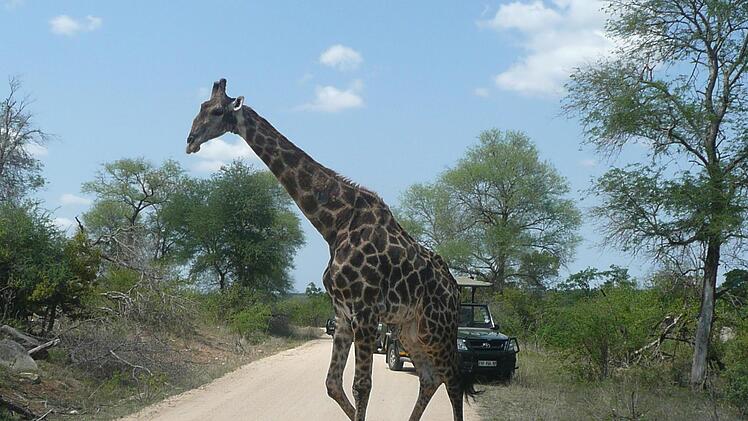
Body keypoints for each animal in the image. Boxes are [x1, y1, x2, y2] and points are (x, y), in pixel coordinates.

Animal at [185, 79, 478, 421]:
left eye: (217, 111)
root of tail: (454, 289)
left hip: (437, 326)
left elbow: (361, 386)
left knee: (453, 379)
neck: (334, 225)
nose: (190, 141)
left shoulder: (364, 312)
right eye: (201, 106)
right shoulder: (343, 313)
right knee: (430, 378)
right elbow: (332, 385)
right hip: (410, 329)